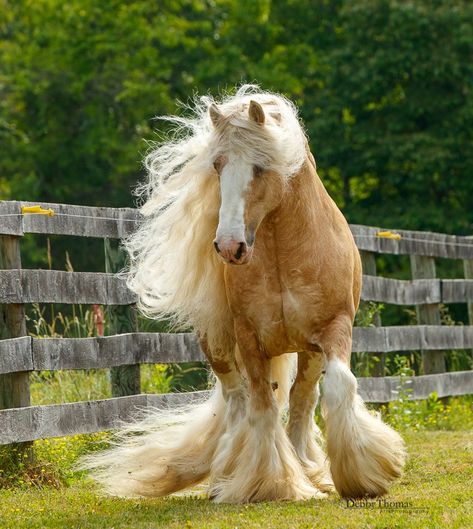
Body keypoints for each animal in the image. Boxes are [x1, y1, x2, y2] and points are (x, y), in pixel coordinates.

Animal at [79, 84, 404, 502]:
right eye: (218, 165)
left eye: (261, 167)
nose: (230, 246)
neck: (282, 253)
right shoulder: (250, 339)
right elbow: (261, 405)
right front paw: (271, 482)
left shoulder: (334, 329)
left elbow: (336, 388)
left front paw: (362, 476)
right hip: (219, 346)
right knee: (237, 401)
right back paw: (227, 476)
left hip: (308, 352)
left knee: (302, 400)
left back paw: (307, 467)